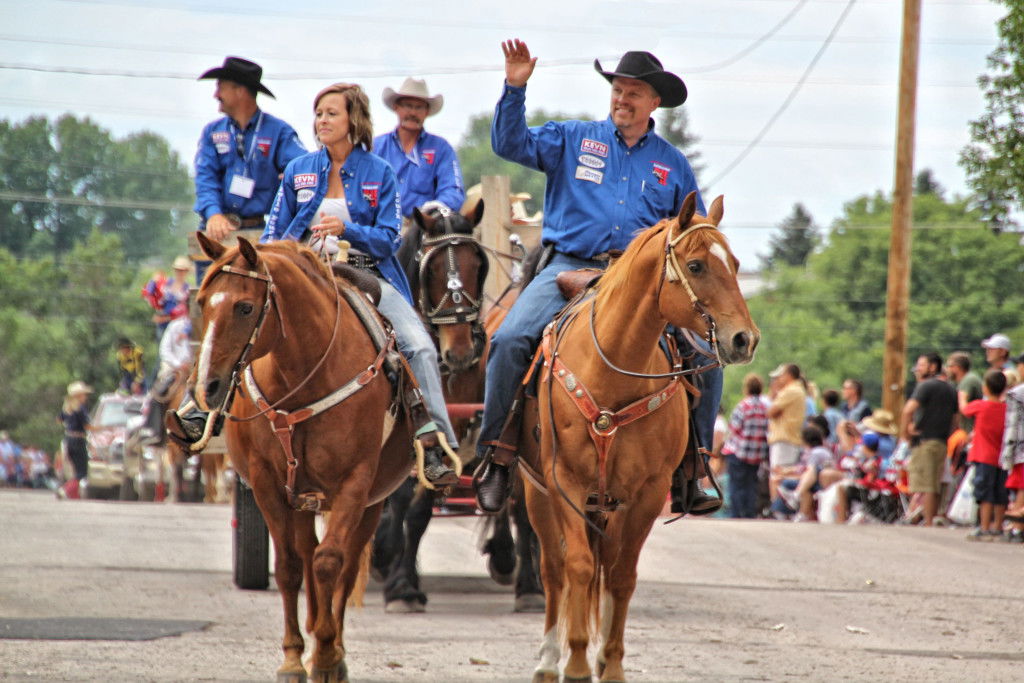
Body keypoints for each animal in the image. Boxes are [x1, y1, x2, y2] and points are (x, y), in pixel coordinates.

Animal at [192, 232, 415, 679]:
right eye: (202, 302)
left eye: (245, 307)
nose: (207, 387)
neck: (305, 374)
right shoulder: (267, 483)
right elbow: (291, 567)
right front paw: (295, 658)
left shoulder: (354, 483)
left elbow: (331, 563)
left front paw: (328, 655)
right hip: (301, 499)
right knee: (306, 554)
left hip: (371, 501)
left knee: (344, 565)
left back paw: (333, 647)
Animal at [524, 193, 757, 683]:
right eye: (696, 265)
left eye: (735, 263)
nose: (745, 339)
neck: (613, 366)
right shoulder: (565, 482)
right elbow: (578, 566)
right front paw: (576, 662)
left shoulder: (646, 494)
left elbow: (621, 576)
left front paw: (609, 664)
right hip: (536, 491)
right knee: (553, 570)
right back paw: (549, 658)